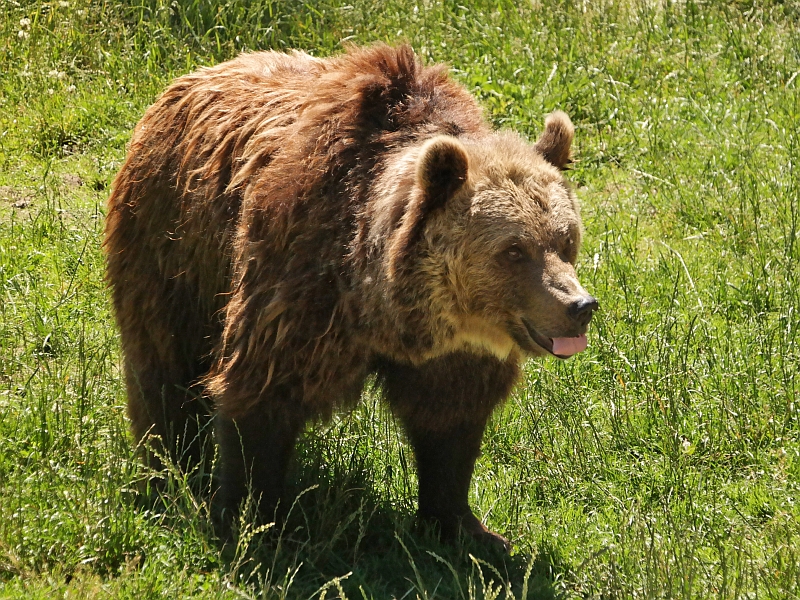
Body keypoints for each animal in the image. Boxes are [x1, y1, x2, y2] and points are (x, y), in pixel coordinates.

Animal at [103, 44, 596, 552]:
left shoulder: (453, 348)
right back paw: (169, 468)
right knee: (163, 363)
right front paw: (255, 520)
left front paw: (467, 527)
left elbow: (450, 419)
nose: (579, 307)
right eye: (514, 250)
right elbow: (260, 394)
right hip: (173, 240)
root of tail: (197, 75)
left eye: (566, 240)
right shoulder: (299, 280)